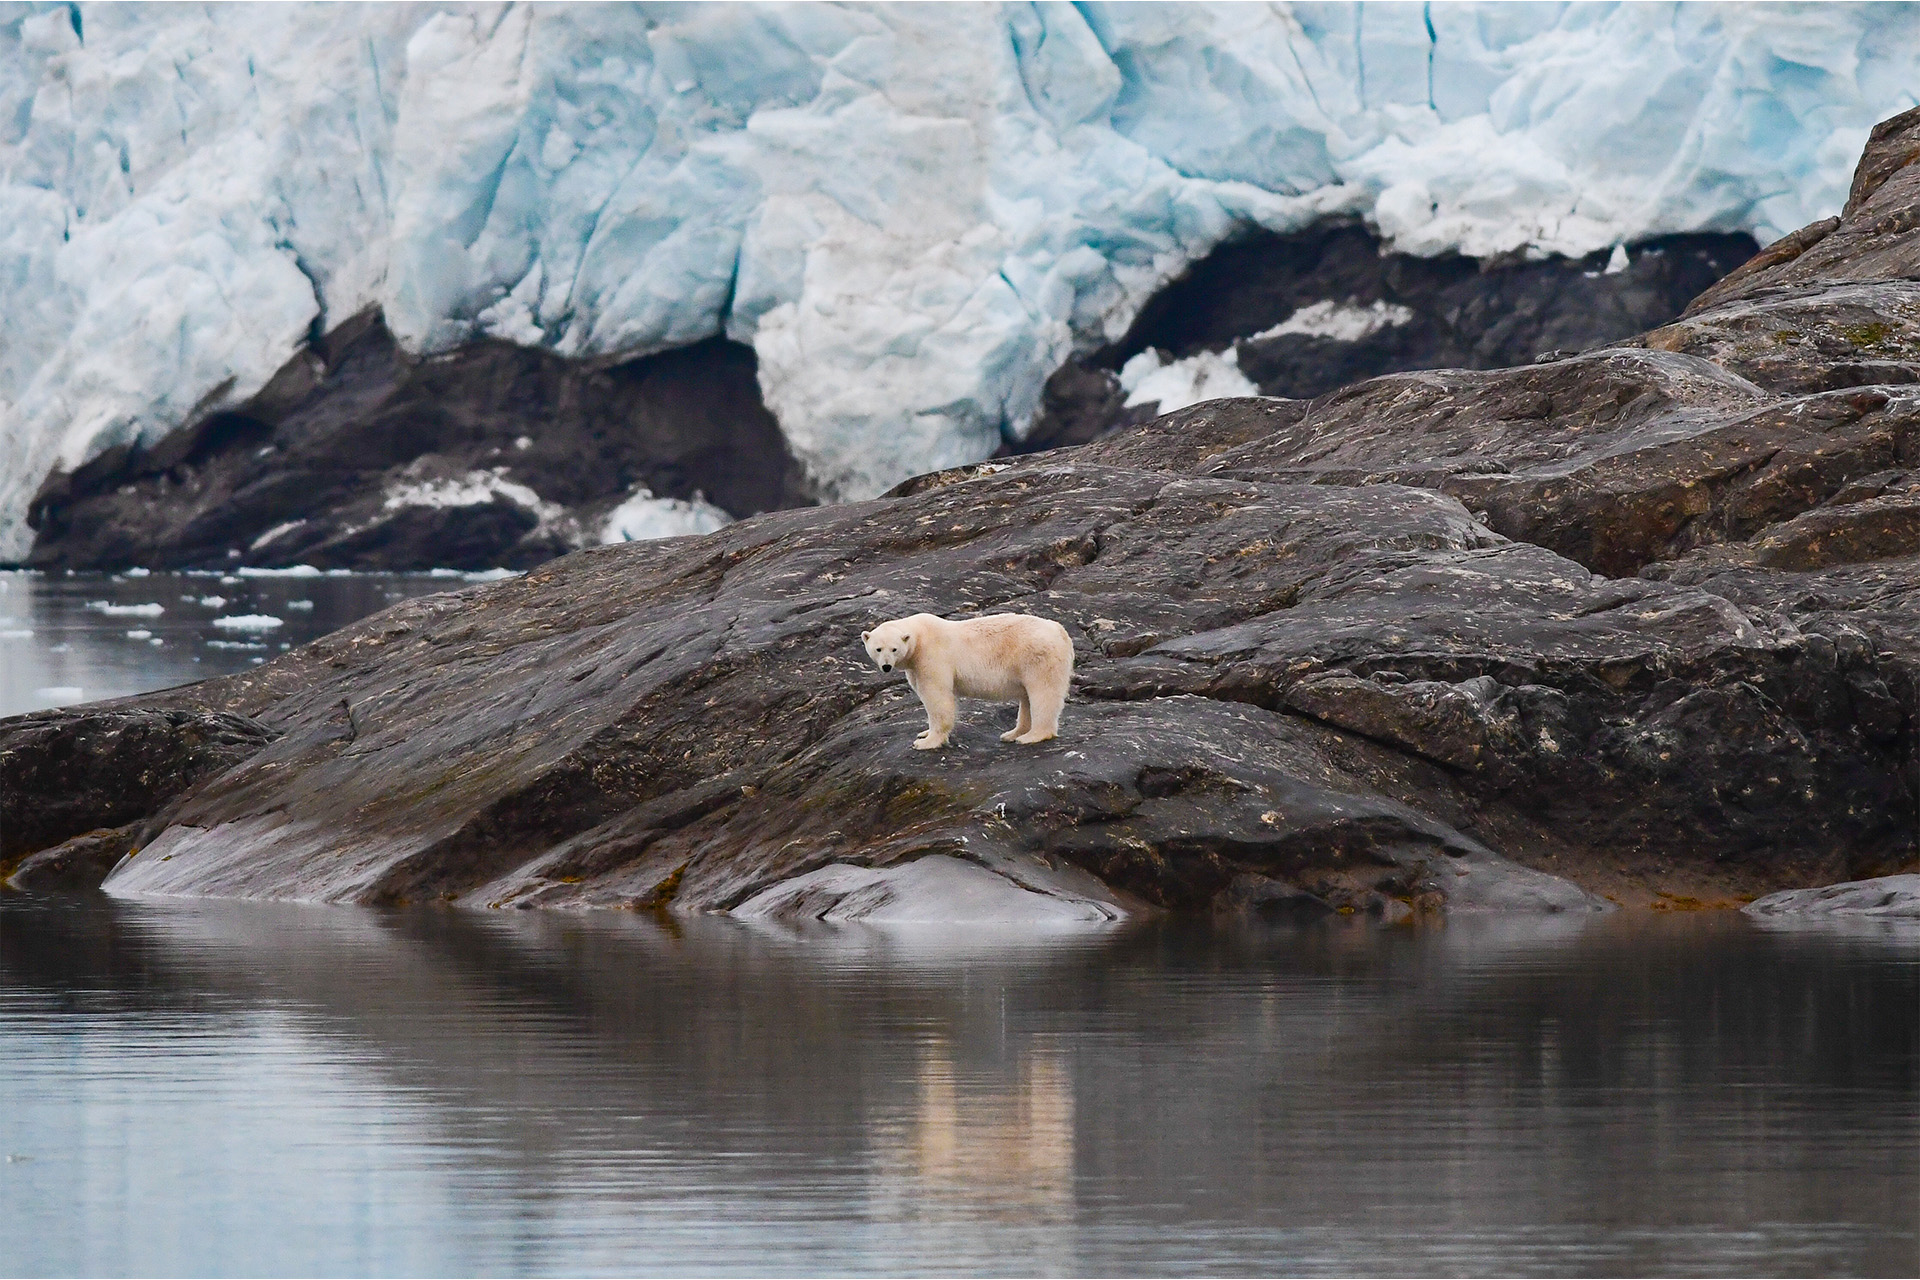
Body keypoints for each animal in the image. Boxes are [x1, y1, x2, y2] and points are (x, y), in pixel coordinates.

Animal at [864, 614, 1075, 752]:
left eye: (894, 649)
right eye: (878, 649)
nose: (886, 666)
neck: (920, 635)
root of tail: (1061, 632)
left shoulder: (931, 657)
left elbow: (937, 697)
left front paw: (926, 742)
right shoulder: (914, 666)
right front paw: (924, 733)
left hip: (1038, 657)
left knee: (1043, 693)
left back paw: (1031, 736)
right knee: (1027, 698)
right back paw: (1012, 734)